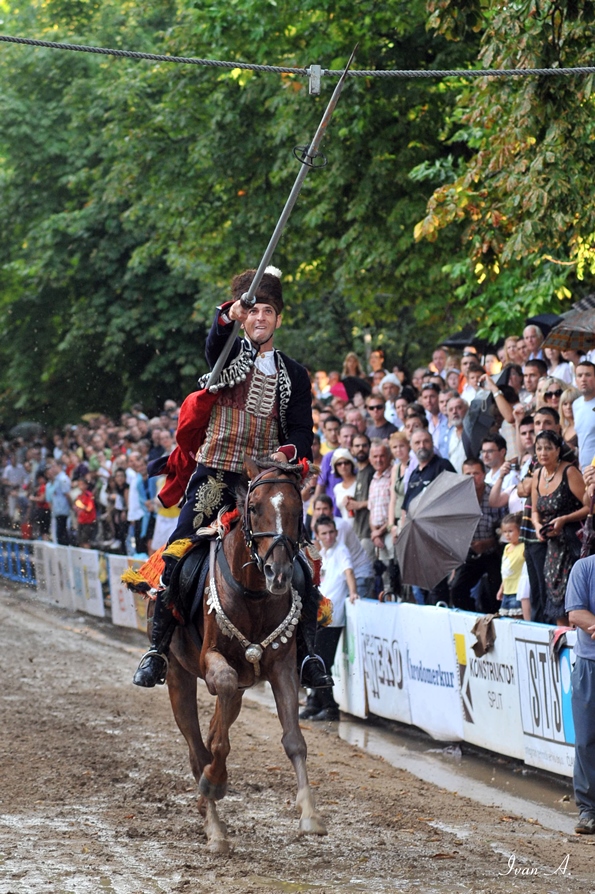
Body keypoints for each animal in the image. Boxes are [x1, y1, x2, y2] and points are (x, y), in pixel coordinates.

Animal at [158, 458, 326, 856]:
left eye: (298, 511)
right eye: (254, 508)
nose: (278, 573)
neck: (253, 596)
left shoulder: (283, 667)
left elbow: (294, 739)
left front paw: (310, 813)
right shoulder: (211, 661)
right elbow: (215, 737)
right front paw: (215, 783)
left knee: (220, 720)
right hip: (178, 676)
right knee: (196, 748)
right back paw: (214, 826)